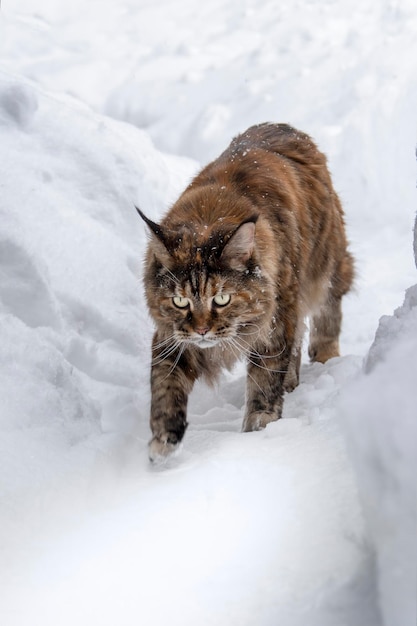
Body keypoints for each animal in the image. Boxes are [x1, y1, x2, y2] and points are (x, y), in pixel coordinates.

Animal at [138, 124, 352, 460]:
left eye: (222, 298)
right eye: (180, 301)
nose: (202, 331)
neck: (208, 219)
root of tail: (284, 127)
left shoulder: (274, 325)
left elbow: (265, 380)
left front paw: (258, 429)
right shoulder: (173, 338)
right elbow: (164, 386)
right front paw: (163, 439)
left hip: (324, 267)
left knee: (326, 315)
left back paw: (325, 357)